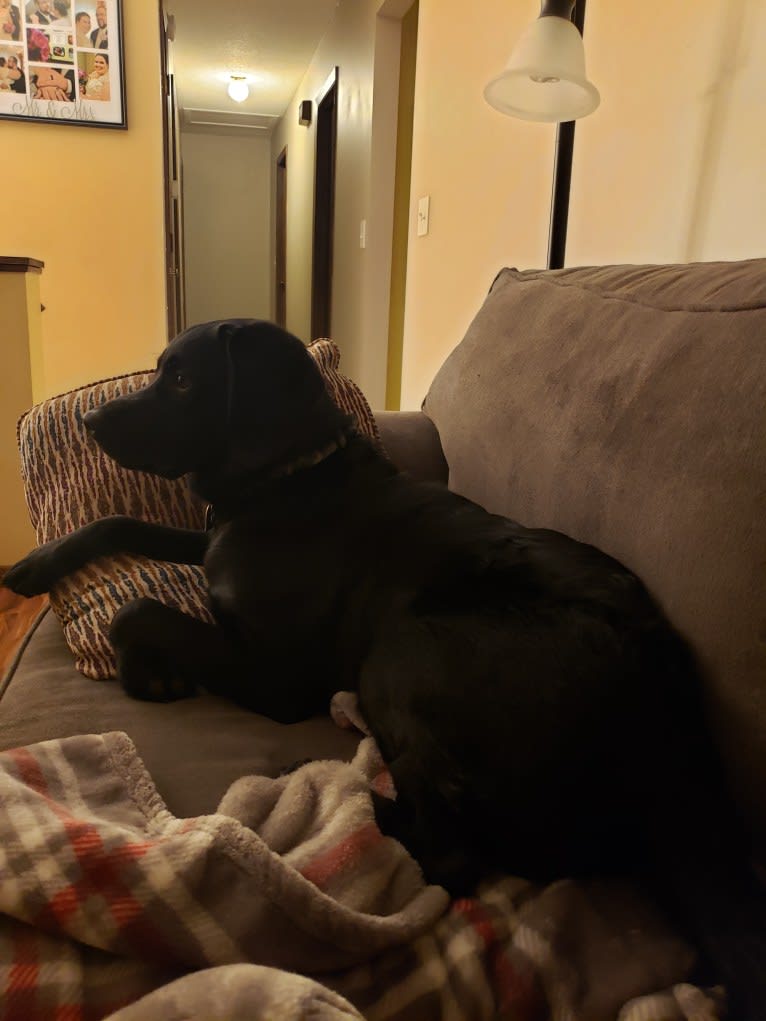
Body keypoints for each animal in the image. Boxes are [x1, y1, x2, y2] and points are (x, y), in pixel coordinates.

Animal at [3, 318, 763, 1012]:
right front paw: (35, 565)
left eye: (184, 378)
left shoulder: (277, 674)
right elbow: (120, 524)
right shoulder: (209, 541)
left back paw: (358, 788)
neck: (285, 478)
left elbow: (138, 610)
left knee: (452, 852)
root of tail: (674, 727)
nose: (90, 420)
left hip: (402, 646)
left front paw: (152, 672)